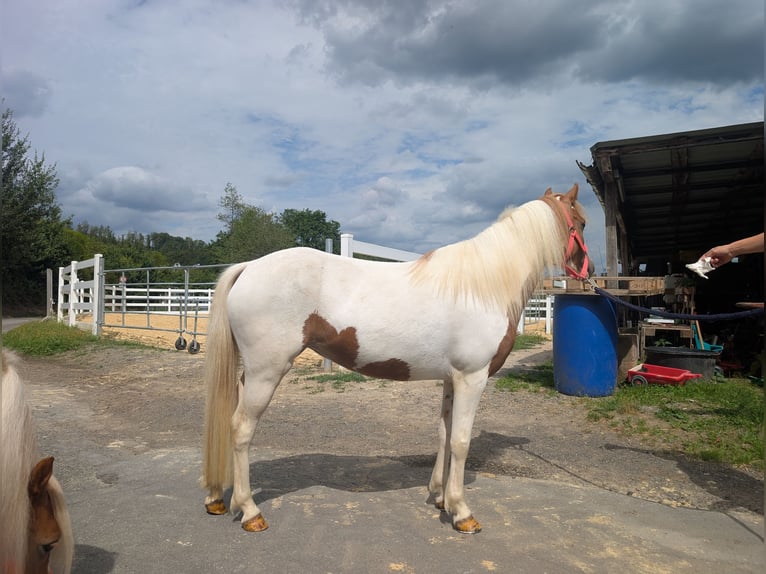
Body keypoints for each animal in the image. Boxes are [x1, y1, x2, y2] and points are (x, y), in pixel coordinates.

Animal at [202, 184, 591, 534]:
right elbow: (461, 441)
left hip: (250, 374)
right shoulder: (472, 377)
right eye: (583, 223)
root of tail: (249, 267)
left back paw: (223, 500)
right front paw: (462, 513)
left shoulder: (451, 379)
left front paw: (440, 497)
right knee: (241, 428)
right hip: (267, 372)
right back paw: (251, 512)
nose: (588, 273)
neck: (484, 286)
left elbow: (444, 434)